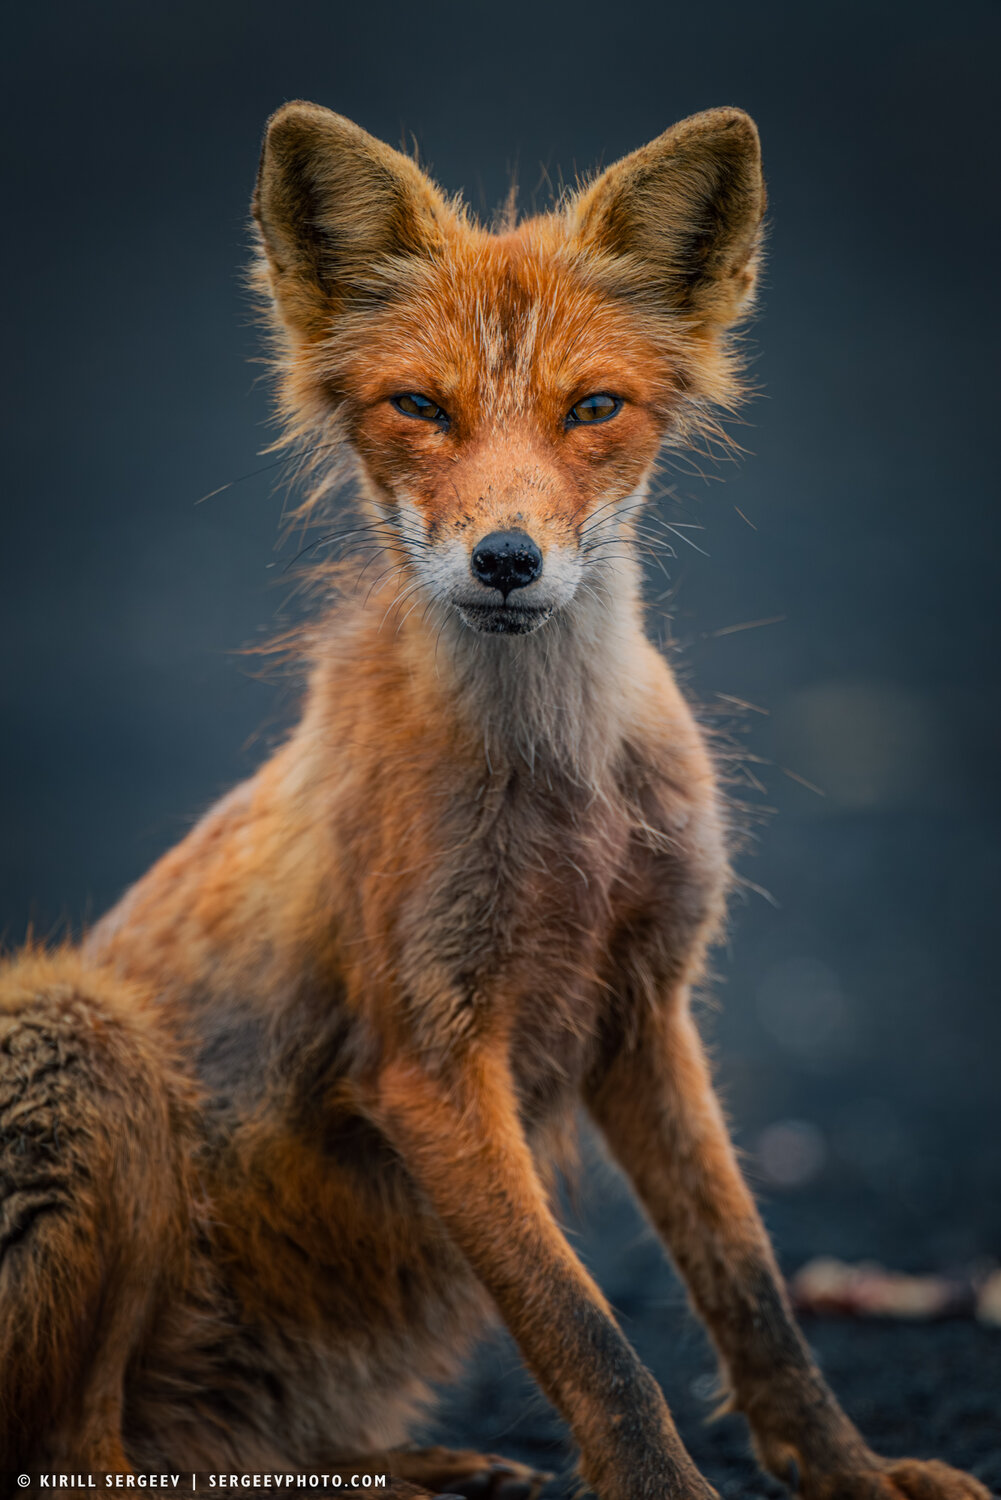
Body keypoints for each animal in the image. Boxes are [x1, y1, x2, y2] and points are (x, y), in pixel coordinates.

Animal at [0, 100, 990, 1500]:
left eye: (593, 408)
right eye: (419, 406)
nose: (507, 560)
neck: (564, 797)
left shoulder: (644, 1009)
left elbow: (749, 1289)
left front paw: (850, 1474)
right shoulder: (431, 1059)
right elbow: (579, 1324)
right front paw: (664, 1486)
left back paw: (410, 1465)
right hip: (83, 1036)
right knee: (78, 1446)